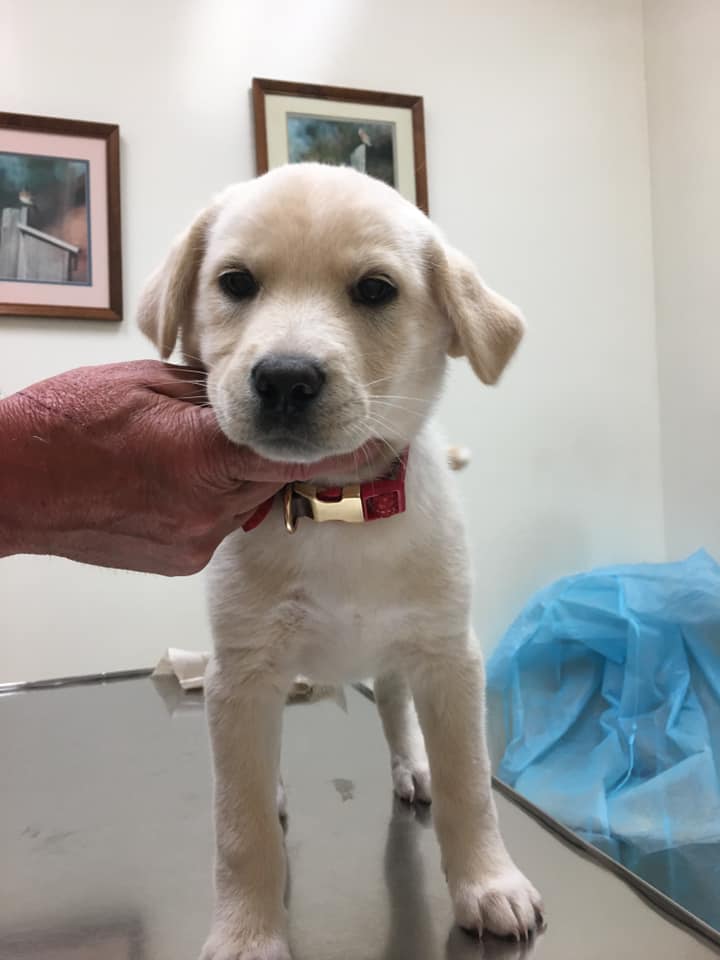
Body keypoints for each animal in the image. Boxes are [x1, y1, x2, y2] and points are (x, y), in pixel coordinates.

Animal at [139, 165, 540, 960]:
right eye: (235, 282)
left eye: (376, 290)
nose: (285, 378)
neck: (334, 508)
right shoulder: (241, 674)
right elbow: (240, 827)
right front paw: (247, 933)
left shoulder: (450, 656)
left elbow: (471, 787)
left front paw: (489, 883)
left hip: (400, 657)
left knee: (394, 709)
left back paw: (414, 765)